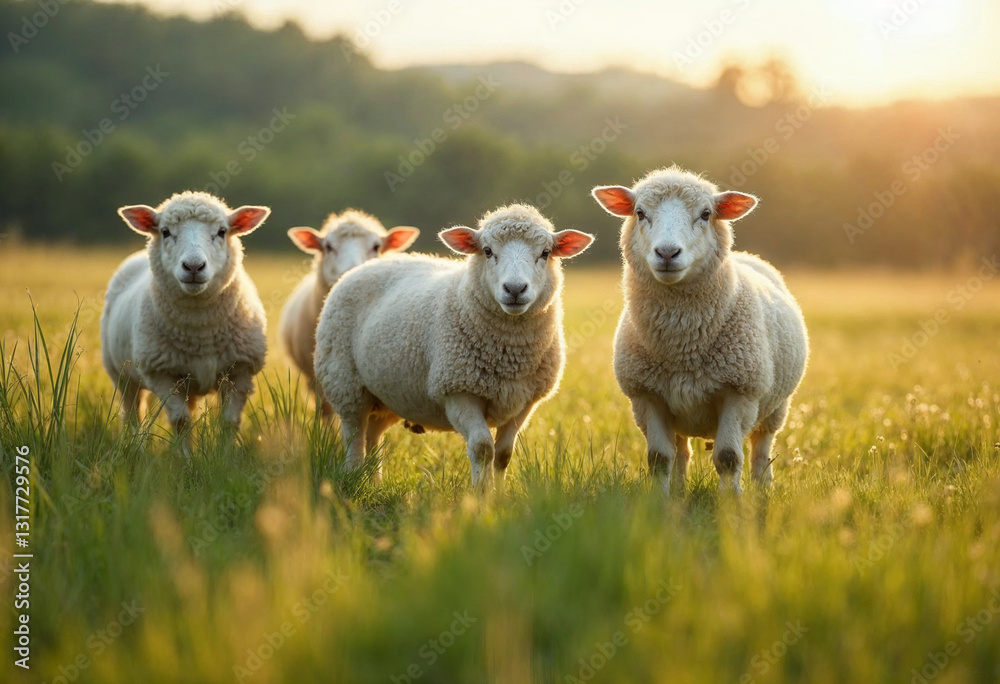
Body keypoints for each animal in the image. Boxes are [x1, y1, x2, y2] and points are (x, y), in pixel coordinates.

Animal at [100, 191, 271, 453]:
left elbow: (229, 421)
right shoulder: (162, 374)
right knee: (131, 414)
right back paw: (136, 448)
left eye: (222, 231)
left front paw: (227, 456)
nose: (193, 266)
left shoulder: (239, 372)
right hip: (121, 375)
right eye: (165, 231)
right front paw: (186, 458)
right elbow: (180, 421)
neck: (200, 333)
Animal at [313, 204, 594, 489]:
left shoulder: (525, 401)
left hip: (387, 395)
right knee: (354, 436)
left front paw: (500, 493)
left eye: (545, 253)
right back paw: (352, 478)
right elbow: (483, 448)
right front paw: (482, 494)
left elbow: (504, 454)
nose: (515, 289)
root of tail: (365, 265)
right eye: (487, 251)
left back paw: (374, 483)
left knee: (373, 437)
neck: (510, 354)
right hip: (345, 382)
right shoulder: (457, 390)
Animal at [591, 166, 808, 495]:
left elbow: (729, 458)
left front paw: (731, 502)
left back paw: (761, 490)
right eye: (640, 213)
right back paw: (679, 493)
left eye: (706, 214)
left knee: (761, 450)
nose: (667, 253)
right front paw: (660, 501)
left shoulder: (739, 392)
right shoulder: (647, 396)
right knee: (681, 453)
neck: (682, 347)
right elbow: (659, 458)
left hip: (775, 407)